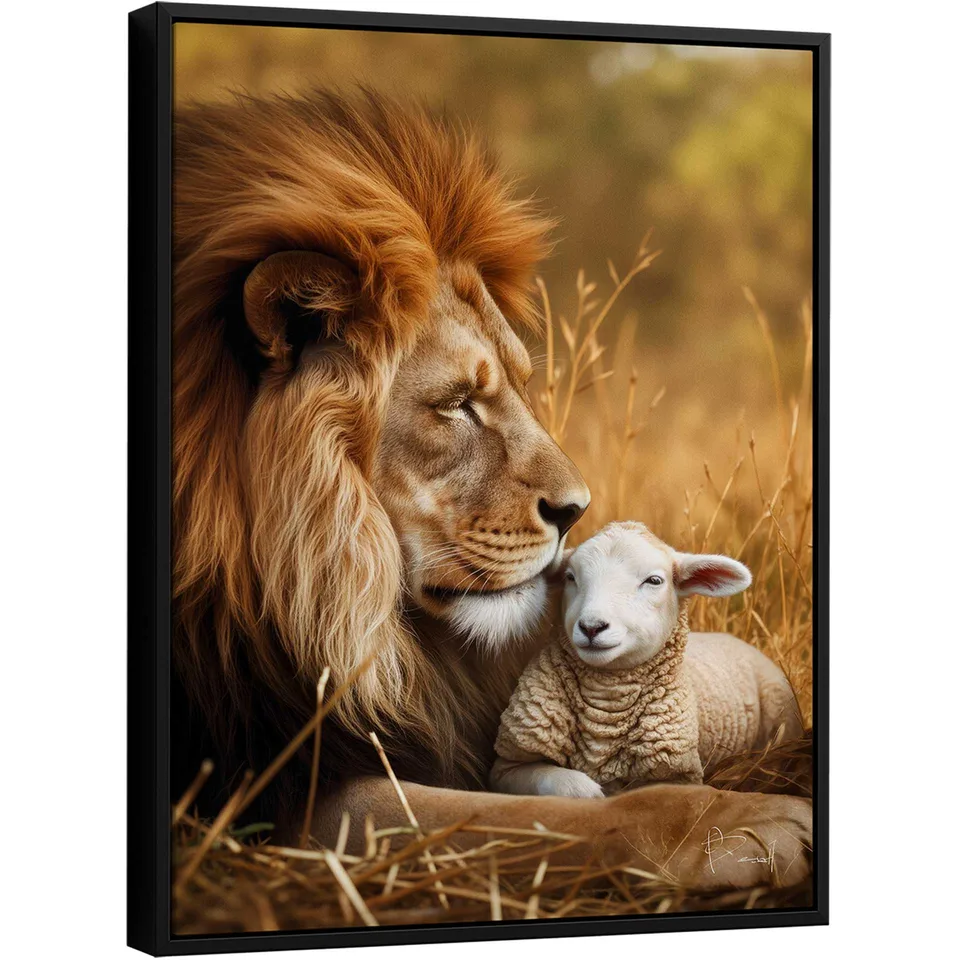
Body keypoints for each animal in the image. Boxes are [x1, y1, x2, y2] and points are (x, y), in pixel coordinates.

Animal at [172, 88, 811, 891]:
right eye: (456, 404)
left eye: (517, 383)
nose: (576, 511)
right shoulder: (264, 782)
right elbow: (535, 815)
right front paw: (749, 822)